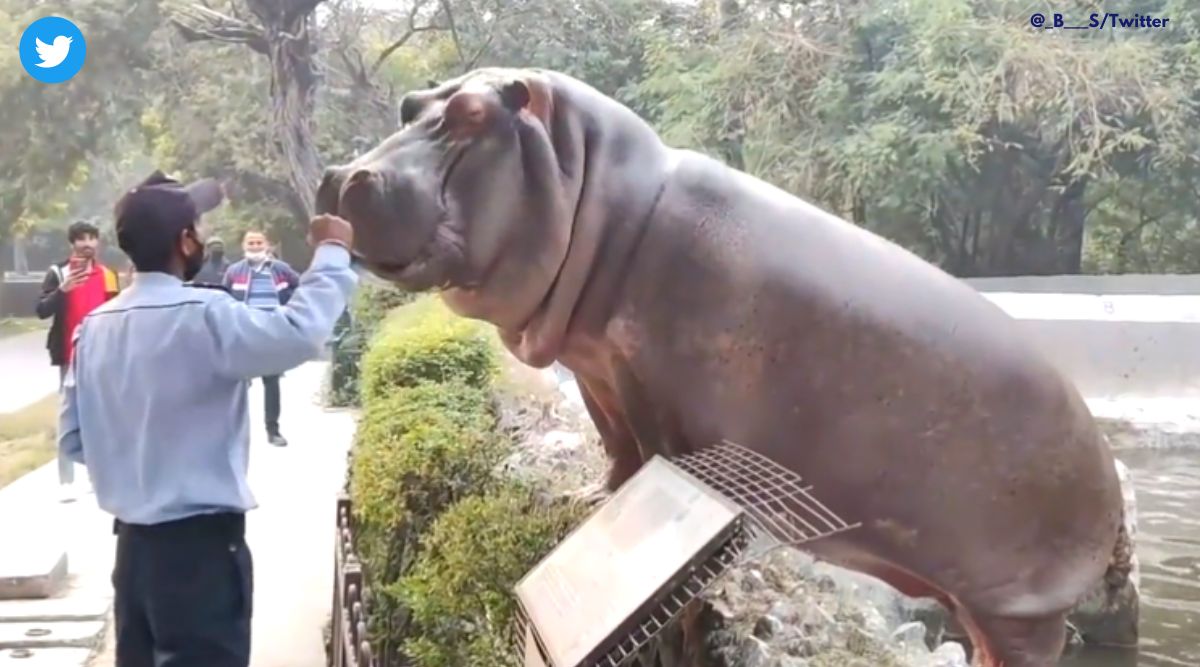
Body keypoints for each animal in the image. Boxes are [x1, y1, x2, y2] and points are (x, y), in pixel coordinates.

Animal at [317, 68, 1130, 666]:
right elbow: (616, 451)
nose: (339, 174)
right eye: (412, 103)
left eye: (474, 116)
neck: (600, 194)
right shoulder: (600, 369)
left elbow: (653, 462)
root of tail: (1111, 474)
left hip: (1024, 610)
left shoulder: (657, 389)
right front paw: (585, 501)